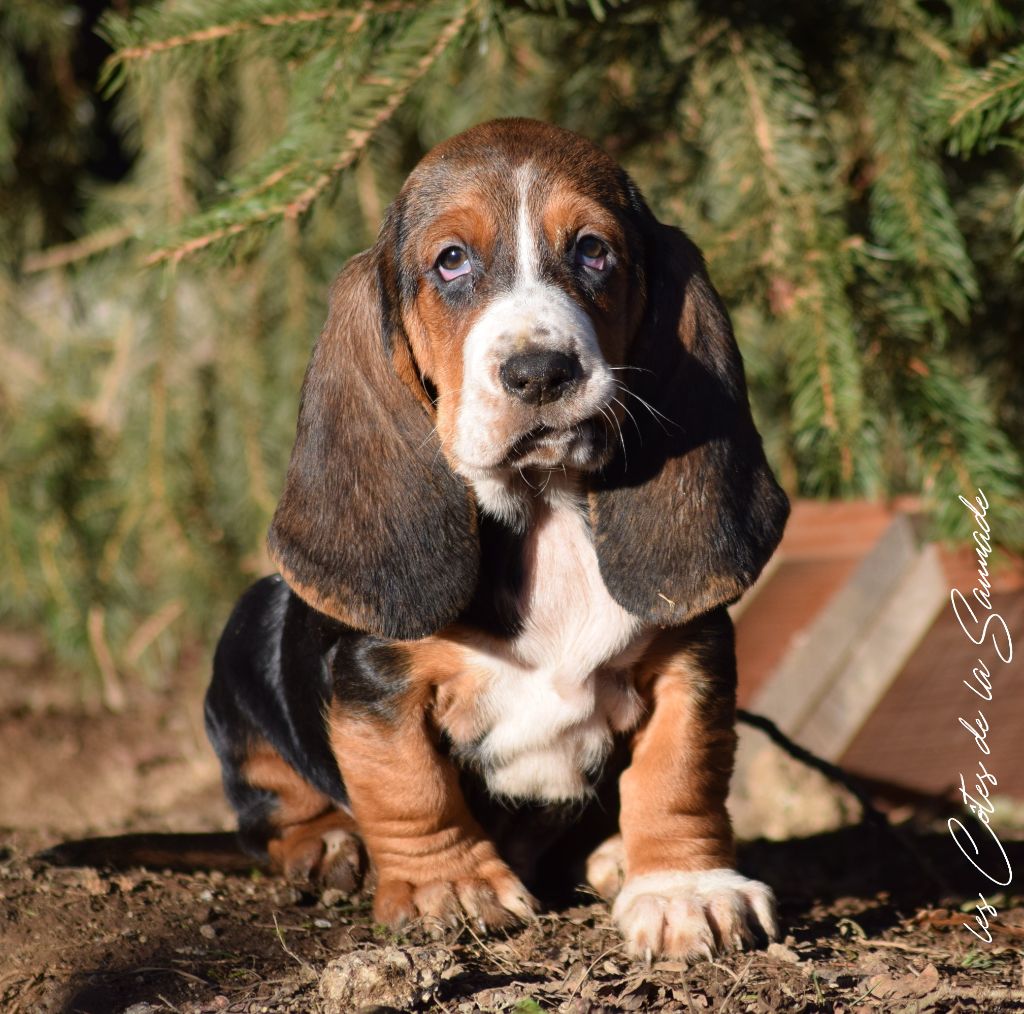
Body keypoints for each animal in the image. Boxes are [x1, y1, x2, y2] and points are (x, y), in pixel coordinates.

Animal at [203, 117, 786, 958]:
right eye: (451, 260)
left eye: (594, 250)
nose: (540, 372)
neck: (545, 510)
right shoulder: (374, 679)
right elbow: (408, 784)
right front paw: (449, 886)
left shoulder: (693, 653)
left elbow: (681, 772)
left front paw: (685, 888)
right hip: (246, 637)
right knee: (273, 810)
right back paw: (329, 843)